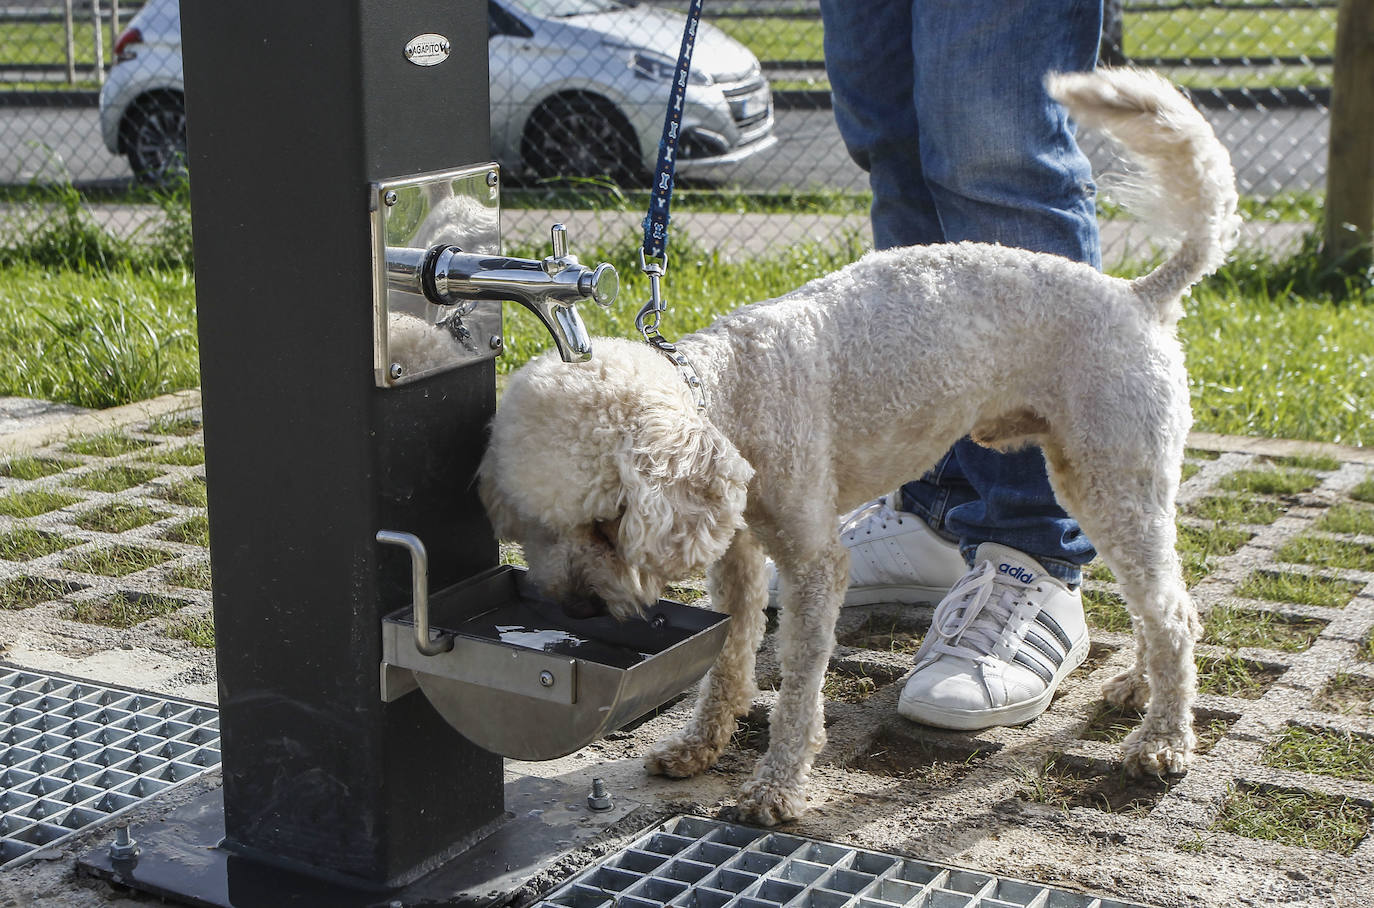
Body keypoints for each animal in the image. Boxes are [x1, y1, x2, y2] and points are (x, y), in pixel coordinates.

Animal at [480, 70, 1247, 824]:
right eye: (537, 529)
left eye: (608, 522)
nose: (576, 611)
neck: (735, 393)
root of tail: (1138, 296)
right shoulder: (737, 558)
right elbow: (728, 656)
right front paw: (700, 744)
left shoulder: (814, 564)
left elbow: (796, 682)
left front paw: (776, 786)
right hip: (1111, 481)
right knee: (1169, 604)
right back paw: (1140, 690)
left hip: (1110, 479)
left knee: (1173, 615)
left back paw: (1164, 742)